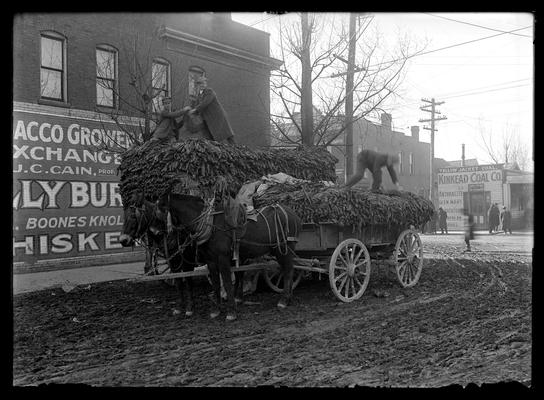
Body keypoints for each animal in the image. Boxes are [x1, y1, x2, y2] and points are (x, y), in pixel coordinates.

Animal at [162, 192, 302, 320]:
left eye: (160, 209)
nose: (168, 243)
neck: (209, 223)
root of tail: (292, 213)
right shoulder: (210, 260)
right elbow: (216, 282)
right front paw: (216, 310)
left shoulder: (222, 258)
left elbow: (227, 282)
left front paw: (231, 312)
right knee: (287, 269)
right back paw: (288, 297)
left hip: (285, 248)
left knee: (288, 270)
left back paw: (284, 300)